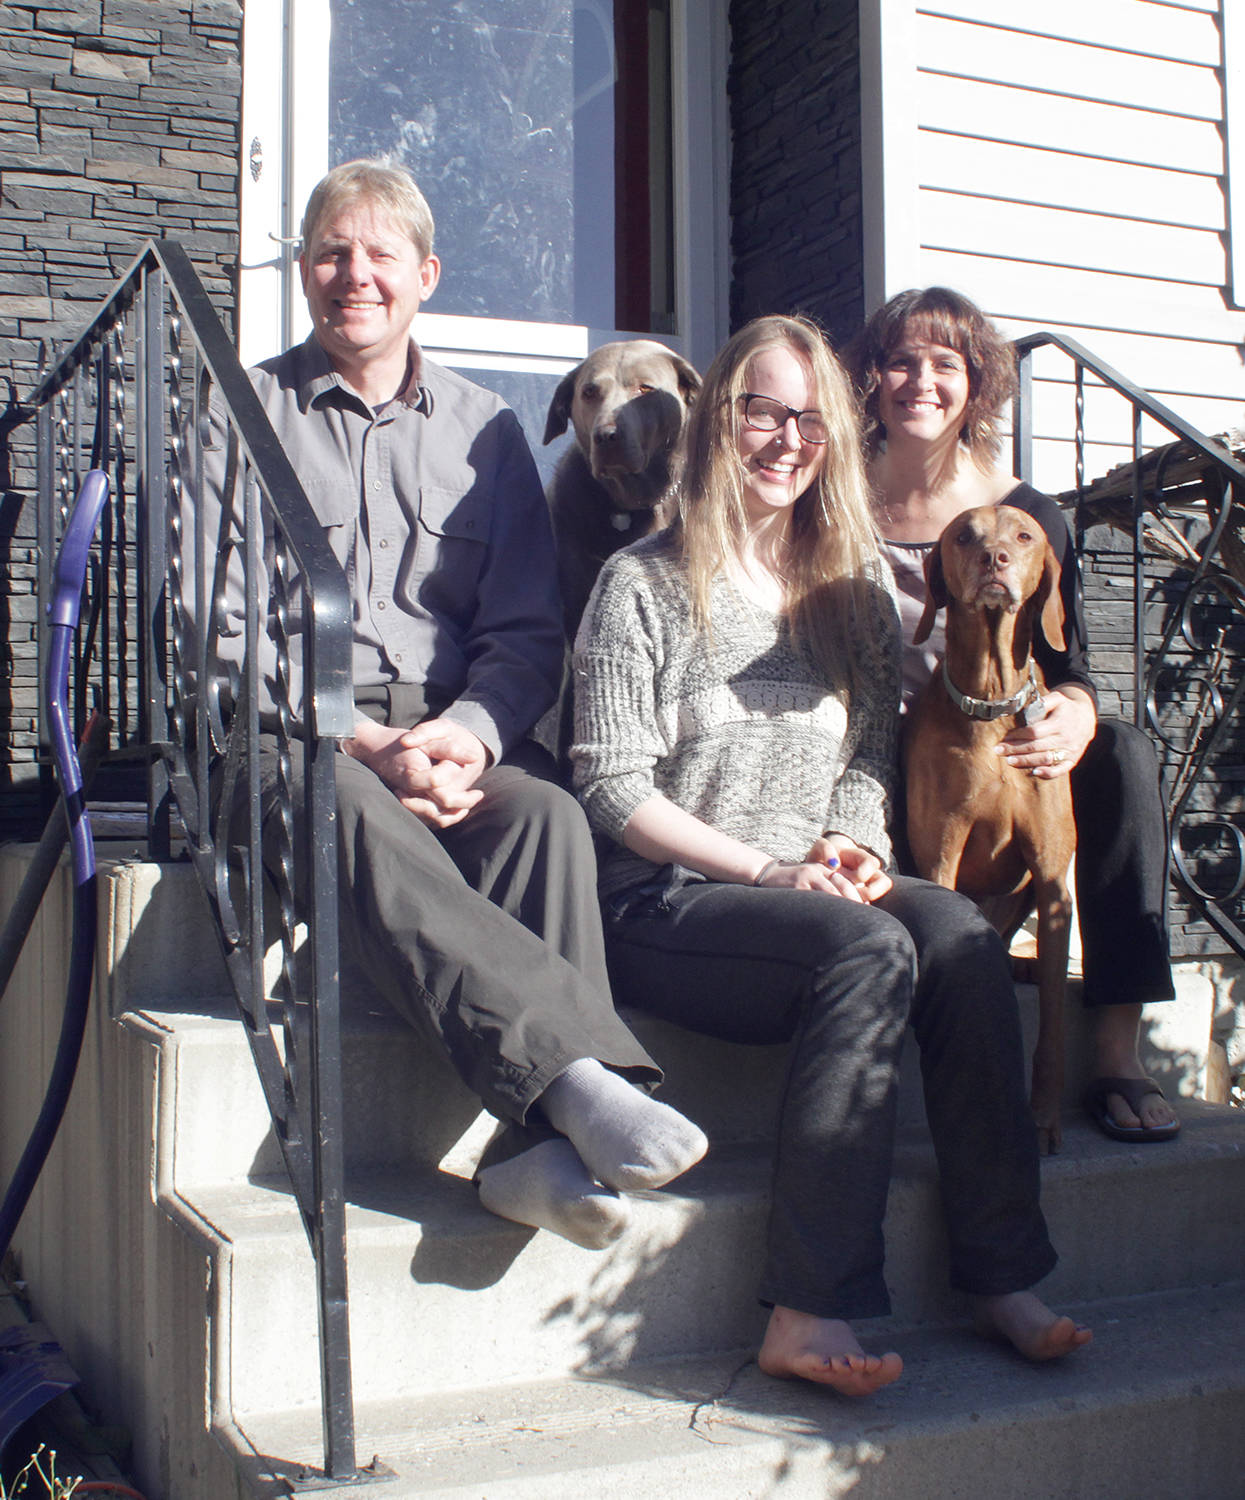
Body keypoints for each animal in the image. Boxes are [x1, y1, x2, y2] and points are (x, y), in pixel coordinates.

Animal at [906, 504, 1080, 1146]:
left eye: (1024, 536)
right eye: (963, 535)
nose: (994, 560)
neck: (991, 704)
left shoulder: (1053, 880)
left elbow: (1054, 1018)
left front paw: (1045, 1116)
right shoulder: (941, 853)